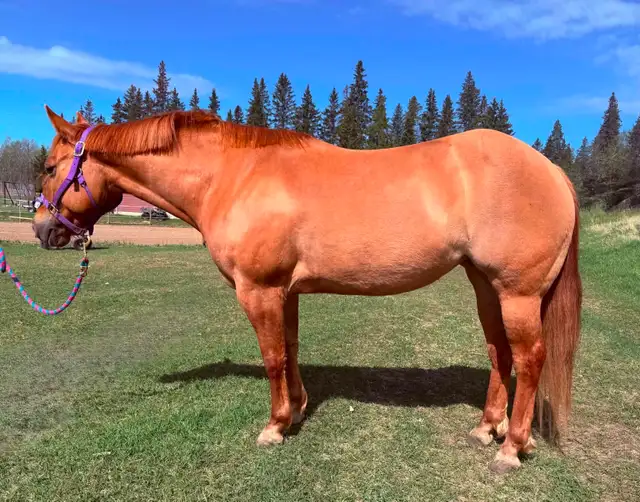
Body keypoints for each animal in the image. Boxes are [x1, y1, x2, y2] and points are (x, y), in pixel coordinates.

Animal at [33, 106, 582, 474]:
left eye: (50, 167)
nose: (42, 230)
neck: (235, 176)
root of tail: (551, 169)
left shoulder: (259, 290)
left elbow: (273, 356)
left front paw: (274, 427)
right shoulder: (286, 291)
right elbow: (292, 349)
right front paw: (296, 410)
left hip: (517, 293)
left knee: (530, 358)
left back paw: (512, 448)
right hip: (486, 285)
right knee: (499, 353)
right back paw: (487, 429)